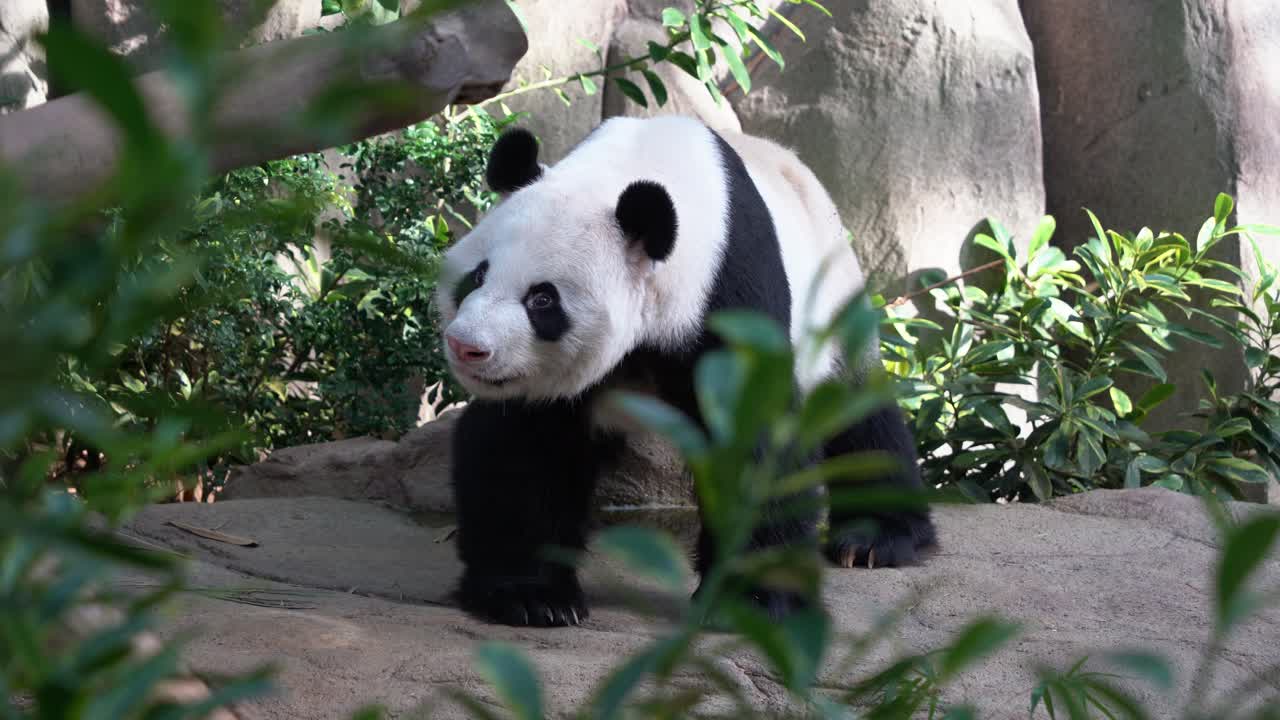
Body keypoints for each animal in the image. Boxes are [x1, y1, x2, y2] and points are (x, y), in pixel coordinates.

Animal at [434, 115, 935, 627]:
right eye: (476, 276)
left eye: (541, 299)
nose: (467, 347)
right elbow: (526, 444)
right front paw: (533, 596)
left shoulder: (730, 290)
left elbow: (756, 438)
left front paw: (753, 598)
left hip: (832, 296)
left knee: (857, 411)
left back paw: (875, 539)